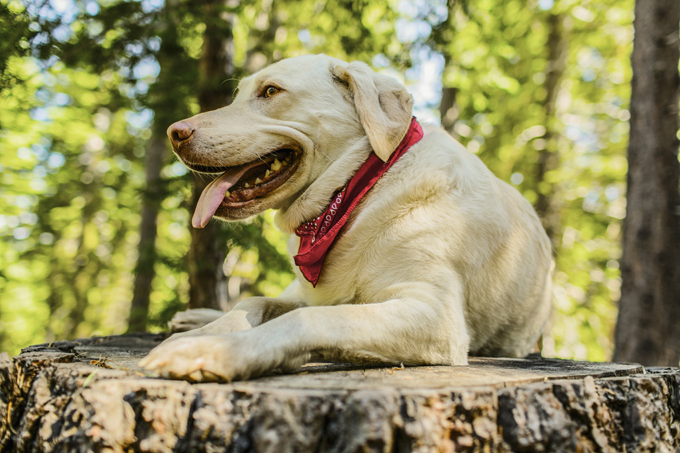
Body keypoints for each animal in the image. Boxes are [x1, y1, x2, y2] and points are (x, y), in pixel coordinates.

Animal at [138, 54, 552, 384]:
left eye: (270, 91)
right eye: (237, 95)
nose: (174, 132)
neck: (357, 195)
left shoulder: (436, 314)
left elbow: (309, 320)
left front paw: (216, 351)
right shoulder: (314, 294)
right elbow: (250, 303)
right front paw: (206, 334)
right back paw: (195, 318)